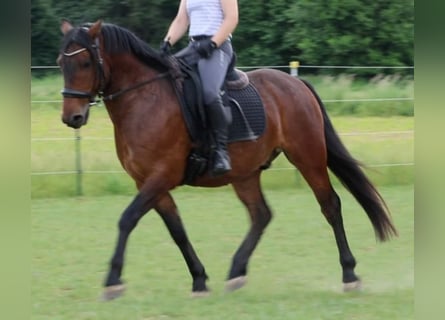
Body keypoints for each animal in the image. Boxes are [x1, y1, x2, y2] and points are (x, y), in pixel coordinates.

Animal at [56, 20, 396, 300]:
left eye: (85, 62)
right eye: (61, 63)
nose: (72, 117)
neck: (145, 98)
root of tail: (295, 83)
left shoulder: (161, 176)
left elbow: (127, 219)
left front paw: (113, 281)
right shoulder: (149, 182)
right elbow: (177, 230)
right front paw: (199, 280)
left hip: (308, 157)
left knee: (330, 206)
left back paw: (349, 274)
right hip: (245, 173)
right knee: (261, 214)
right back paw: (236, 273)